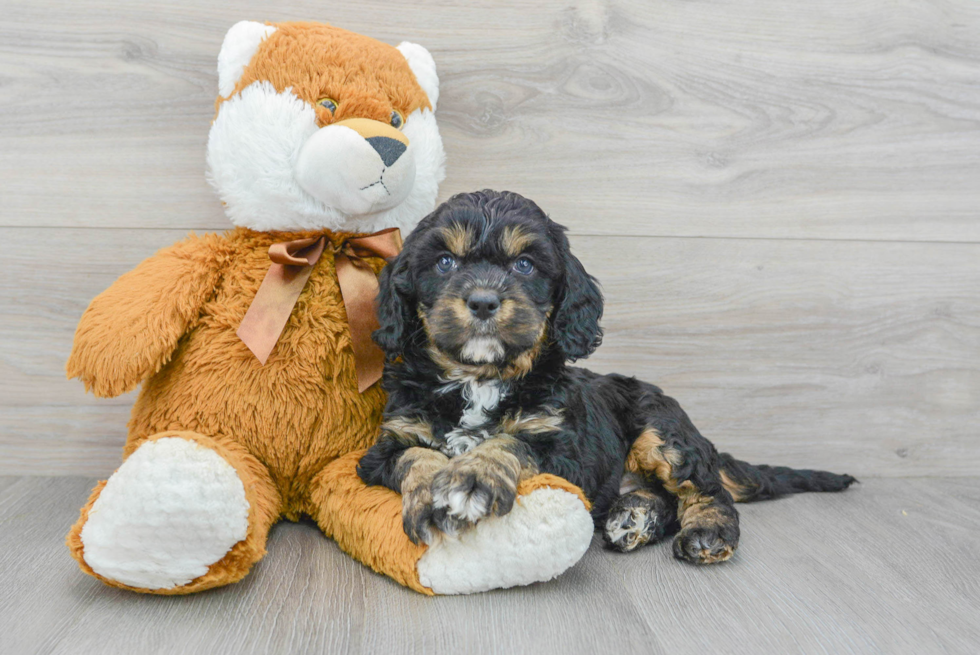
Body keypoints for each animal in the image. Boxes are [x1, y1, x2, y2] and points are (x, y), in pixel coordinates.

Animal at [356, 188, 852, 564]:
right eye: (445, 262)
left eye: (524, 265)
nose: (482, 301)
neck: (479, 377)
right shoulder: (384, 446)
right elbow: (416, 456)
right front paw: (432, 493)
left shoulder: (565, 448)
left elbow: (511, 443)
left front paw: (473, 477)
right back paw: (634, 517)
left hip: (661, 430)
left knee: (705, 489)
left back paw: (707, 532)